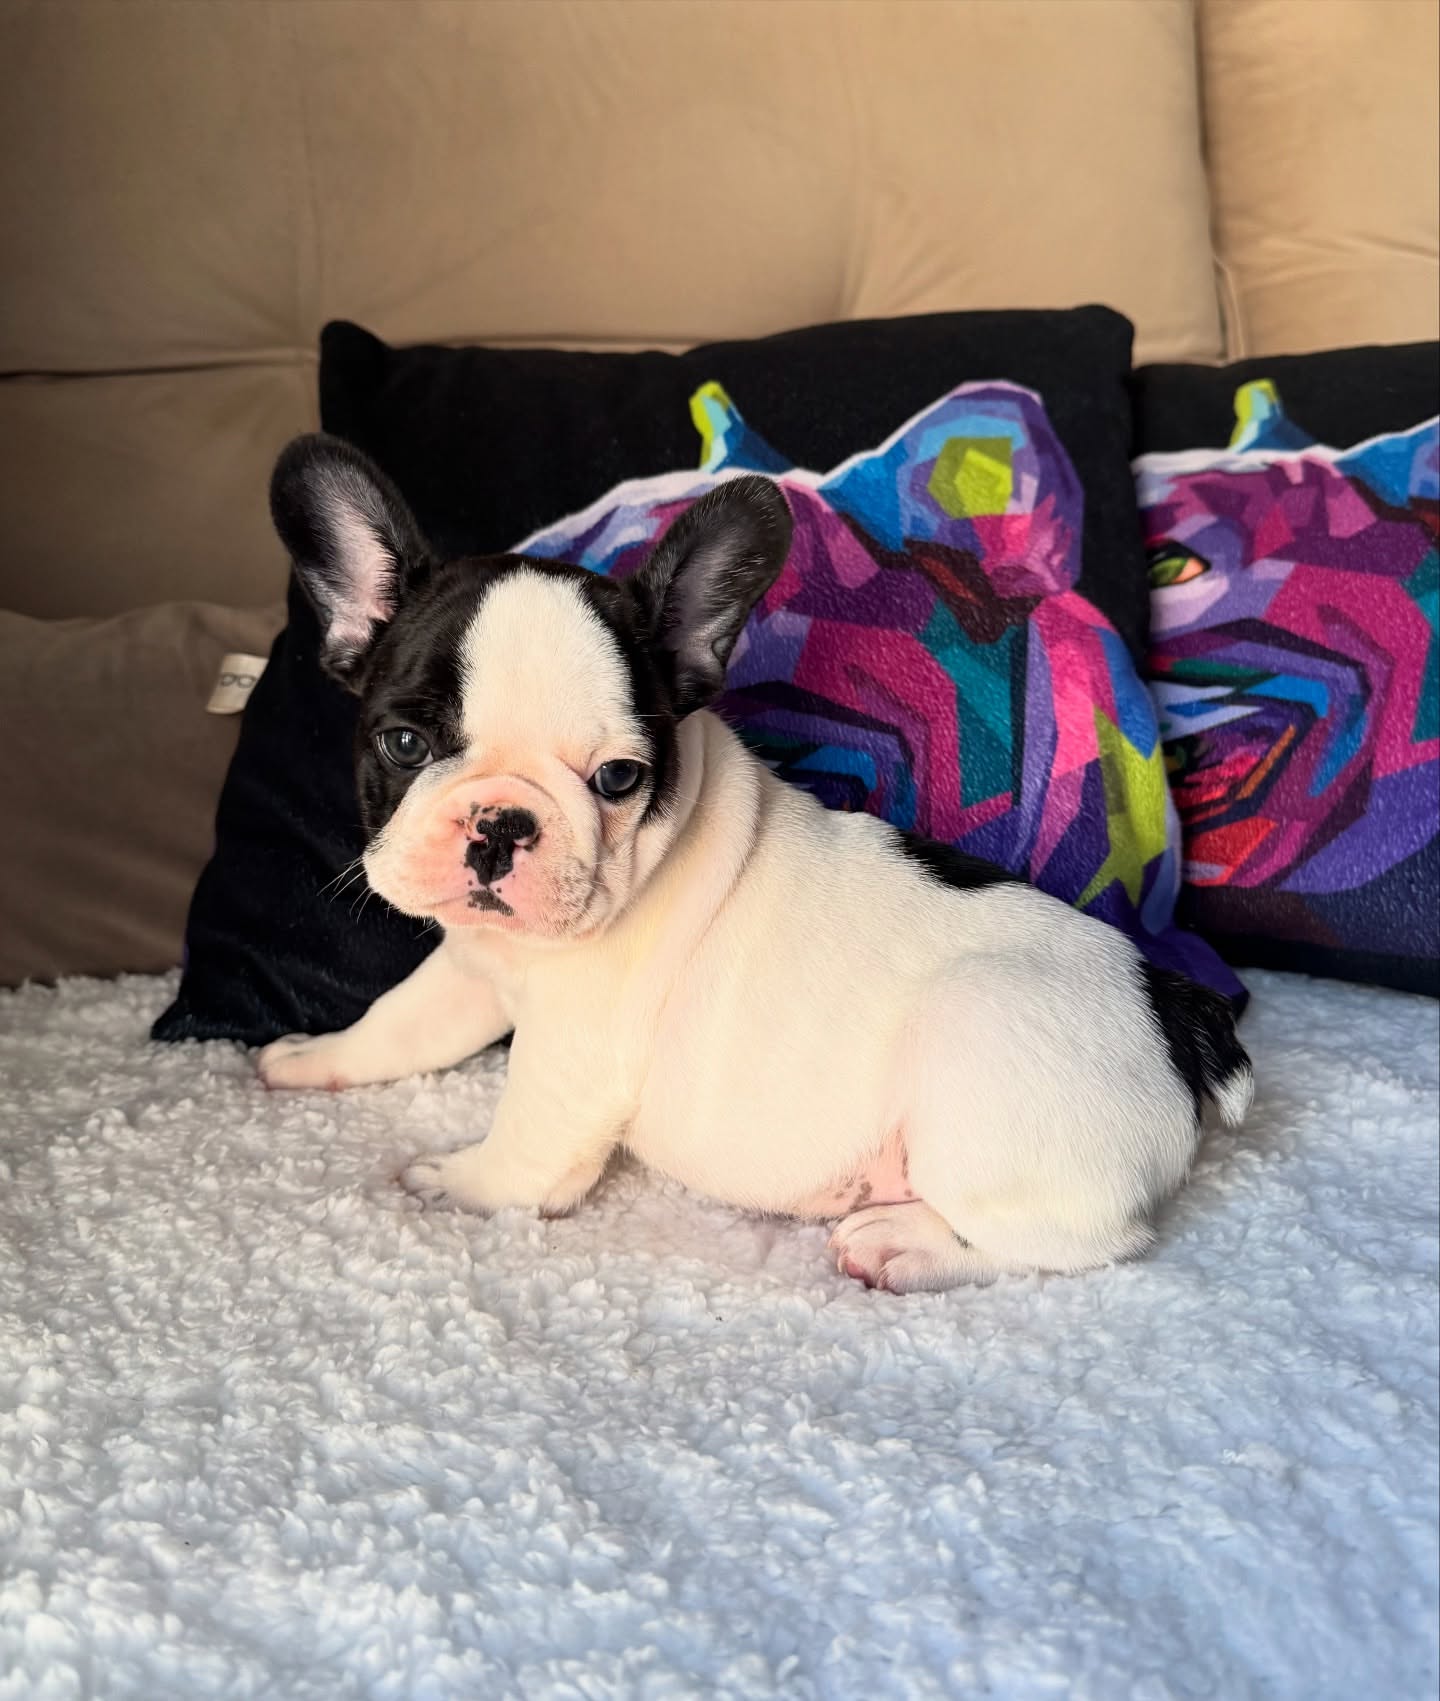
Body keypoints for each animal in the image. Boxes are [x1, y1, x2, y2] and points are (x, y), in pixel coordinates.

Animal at [257, 433, 1252, 1292]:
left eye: (618, 777)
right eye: (404, 743)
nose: (502, 823)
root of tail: (1178, 1011)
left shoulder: (573, 1050)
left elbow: (525, 1150)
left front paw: (455, 1180)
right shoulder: (469, 964)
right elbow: (399, 1022)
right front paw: (315, 1058)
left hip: (981, 1064)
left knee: (1072, 1242)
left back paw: (905, 1244)